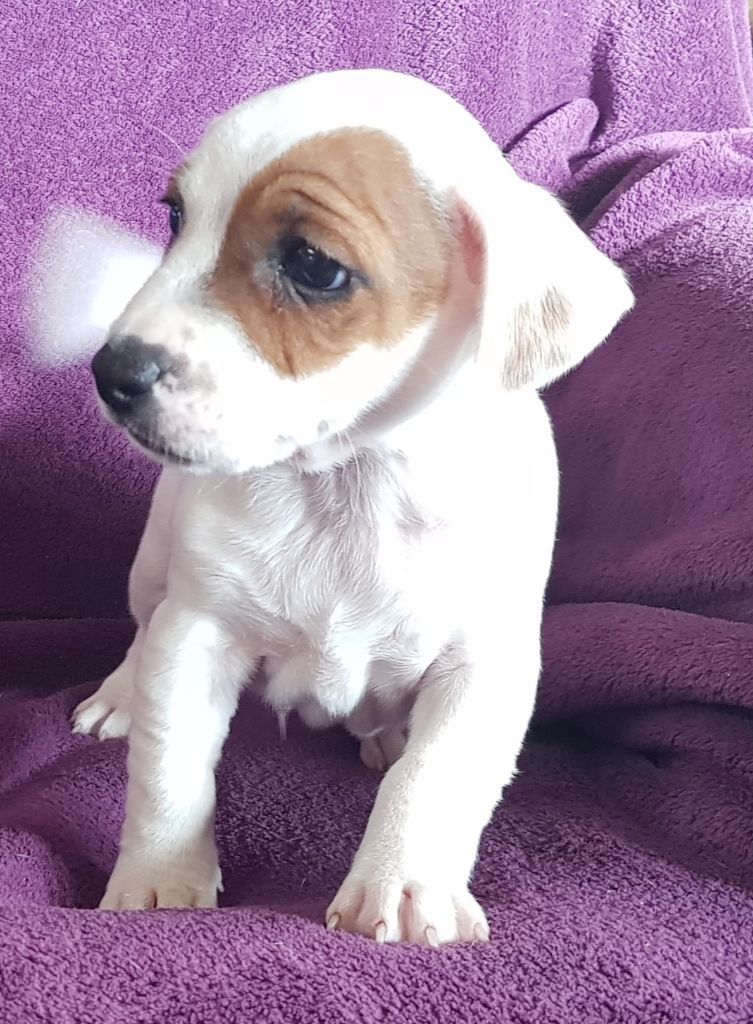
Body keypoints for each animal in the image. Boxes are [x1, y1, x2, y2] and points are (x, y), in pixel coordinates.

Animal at [71, 68, 633, 945]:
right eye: (176, 218)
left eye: (312, 264)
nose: (111, 372)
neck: (347, 483)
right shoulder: (198, 632)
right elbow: (170, 774)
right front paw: (158, 884)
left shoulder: (485, 665)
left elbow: (434, 775)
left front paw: (401, 881)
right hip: (154, 561)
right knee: (142, 627)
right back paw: (121, 694)